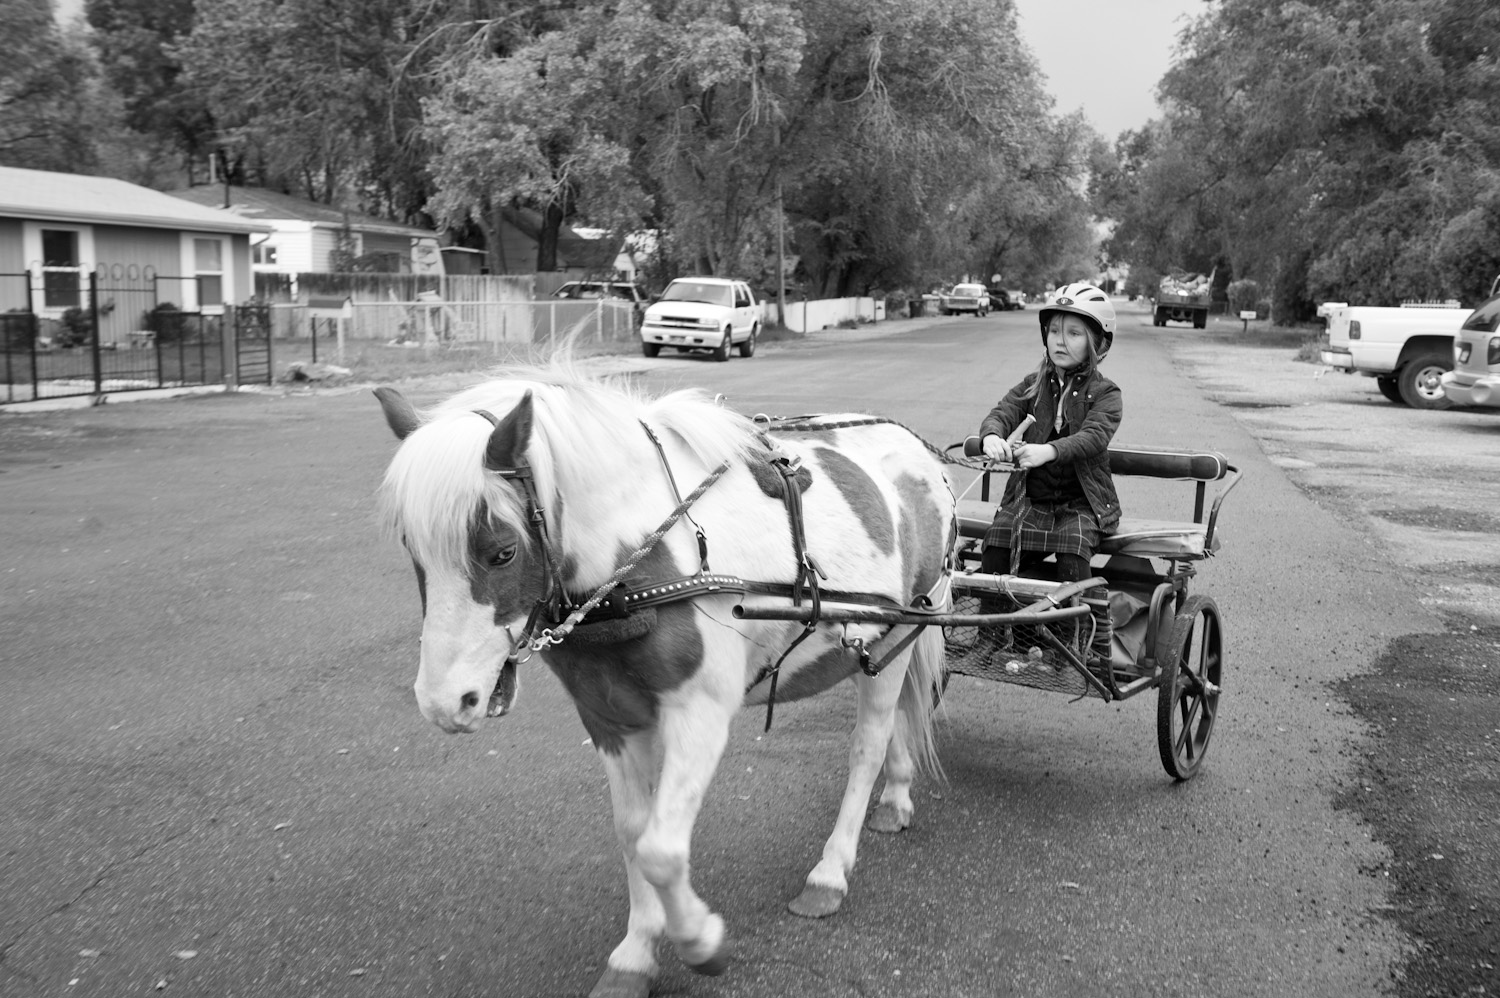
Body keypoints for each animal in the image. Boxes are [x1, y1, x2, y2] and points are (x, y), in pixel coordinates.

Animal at [375, 364, 954, 996]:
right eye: (411, 548)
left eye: (502, 552)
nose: (443, 704)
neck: (641, 564)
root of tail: (919, 453)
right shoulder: (608, 717)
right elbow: (634, 832)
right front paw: (636, 952)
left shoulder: (699, 714)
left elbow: (660, 850)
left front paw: (700, 941)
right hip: (873, 645)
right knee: (896, 719)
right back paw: (896, 796)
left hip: (899, 634)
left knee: (868, 745)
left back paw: (830, 871)